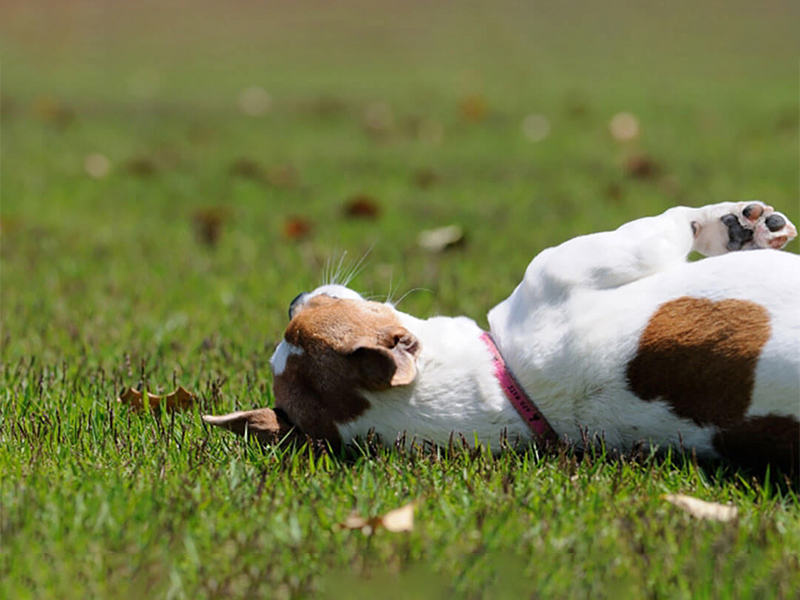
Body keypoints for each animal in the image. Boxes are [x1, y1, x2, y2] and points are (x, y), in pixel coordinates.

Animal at [206, 204, 800, 472]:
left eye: (308, 317)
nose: (293, 298)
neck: (510, 390)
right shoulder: (590, 260)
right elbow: (679, 222)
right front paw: (734, 224)